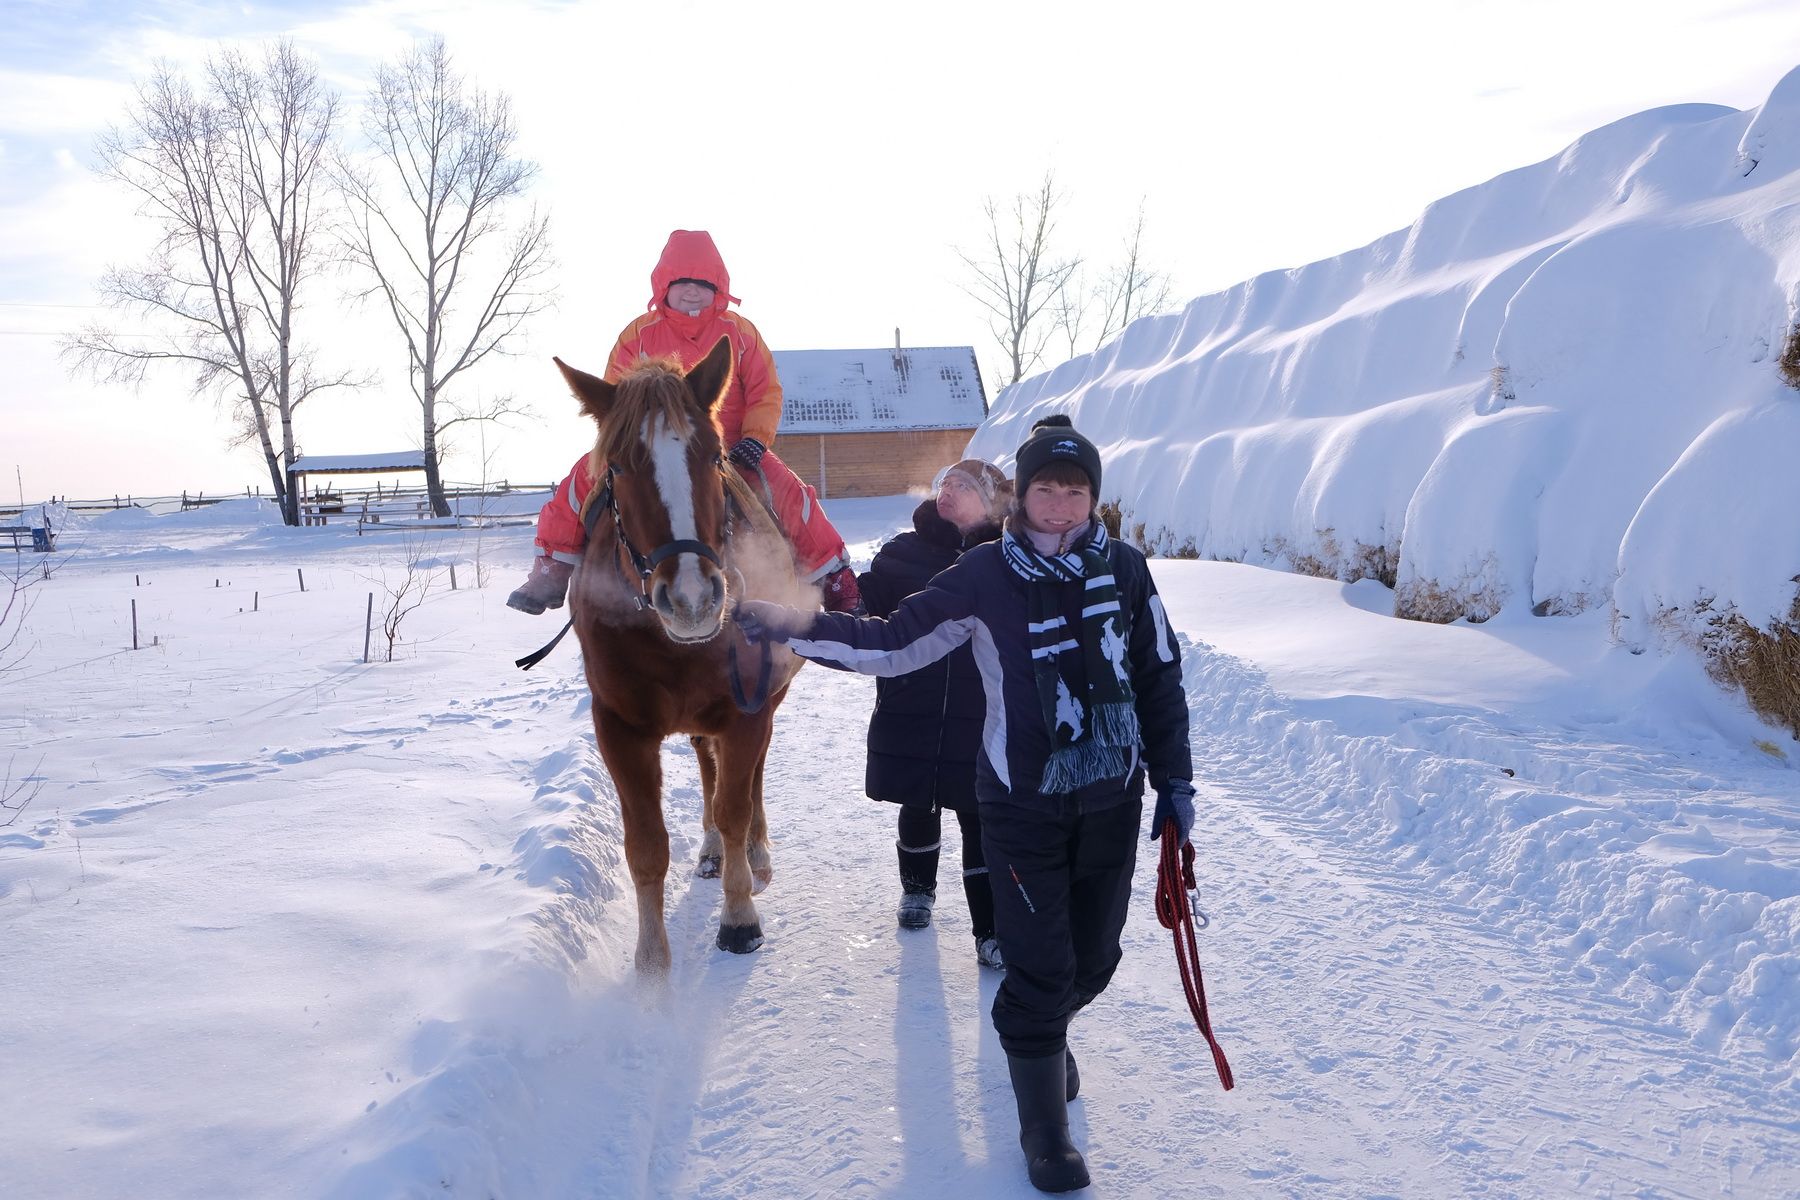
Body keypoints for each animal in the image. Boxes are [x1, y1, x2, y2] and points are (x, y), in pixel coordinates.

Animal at [550, 332, 799, 971]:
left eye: (713, 456)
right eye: (616, 466)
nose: (692, 598)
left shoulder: (746, 711)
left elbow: (737, 808)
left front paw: (739, 918)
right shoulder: (619, 728)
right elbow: (646, 845)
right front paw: (651, 963)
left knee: (751, 780)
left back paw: (754, 855)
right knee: (708, 766)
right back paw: (710, 850)